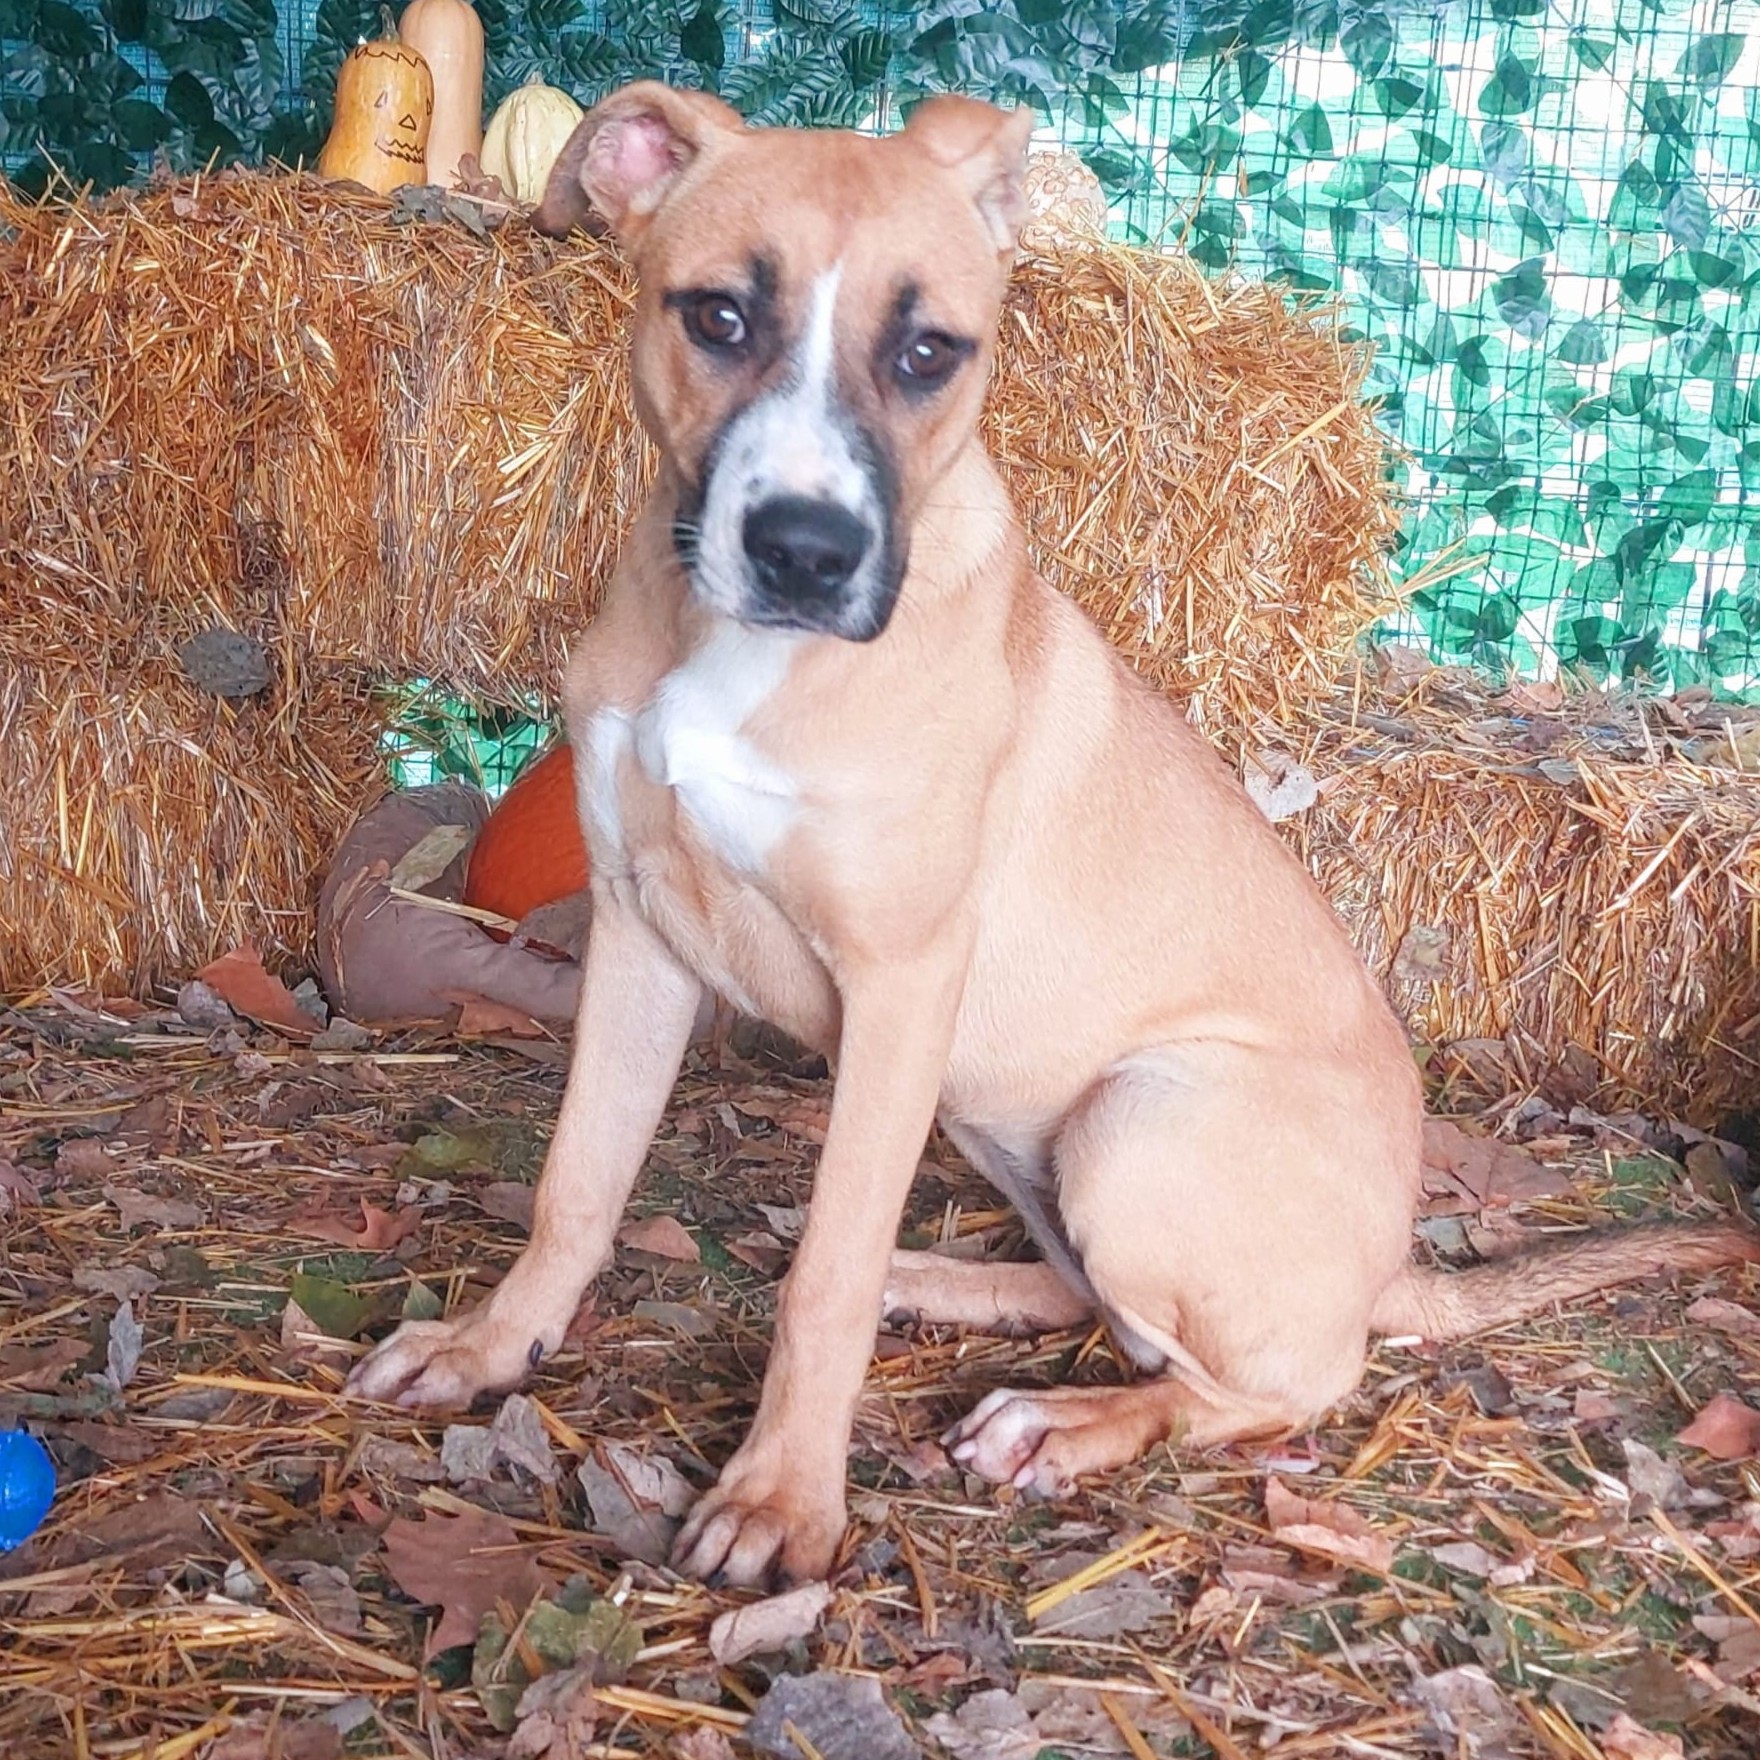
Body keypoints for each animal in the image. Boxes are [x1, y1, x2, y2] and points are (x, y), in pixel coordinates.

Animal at [348, 83, 1760, 1587]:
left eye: (928, 351)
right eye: (718, 316)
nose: (804, 553)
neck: (731, 654)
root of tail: (1388, 1272)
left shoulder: (900, 982)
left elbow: (824, 1275)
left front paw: (783, 1496)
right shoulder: (638, 928)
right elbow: (576, 1181)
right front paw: (489, 1347)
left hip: (1134, 1119)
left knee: (1257, 1389)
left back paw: (1063, 1423)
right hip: (1000, 1117)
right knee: (1091, 1297)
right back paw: (947, 1286)